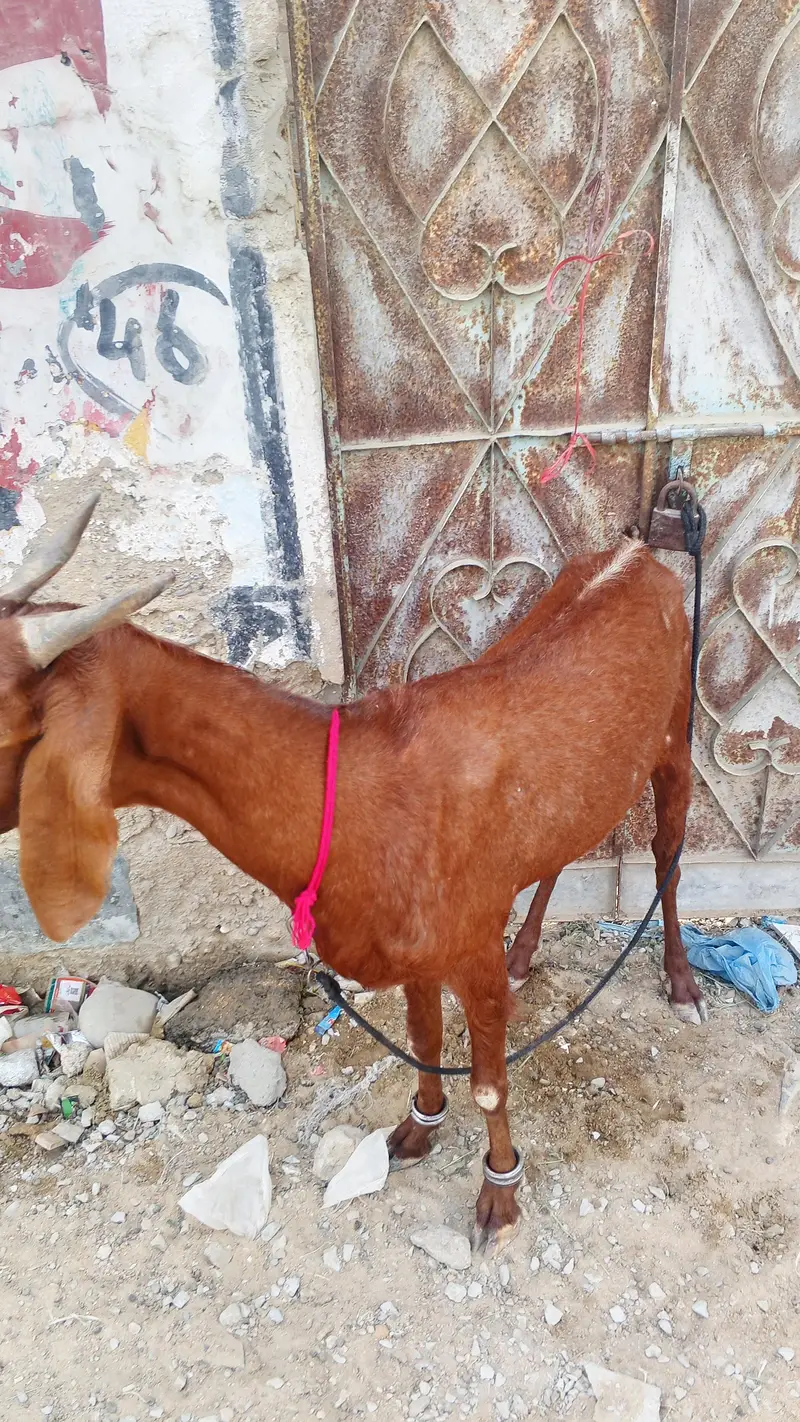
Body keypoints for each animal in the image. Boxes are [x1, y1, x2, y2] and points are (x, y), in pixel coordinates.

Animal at [0, 504, 705, 1252]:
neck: (358, 806)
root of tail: (636, 556)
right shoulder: (417, 955)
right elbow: (423, 1043)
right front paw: (419, 1128)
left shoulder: (470, 952)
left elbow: (489, 1084)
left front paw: (499, 1194)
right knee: (563, 851)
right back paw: (526, 953)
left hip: (675, 738)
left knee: (667, 856)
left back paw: (681, 983)